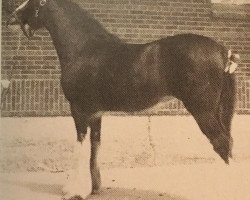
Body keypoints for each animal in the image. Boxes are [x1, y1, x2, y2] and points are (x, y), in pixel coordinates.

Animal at [6, 0, 239, 198]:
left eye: (32, 2)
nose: (11, 18)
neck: (83, 48)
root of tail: (222, 51)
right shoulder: (95, 114)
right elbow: (94, 147)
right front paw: (94, 188)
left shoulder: (79, 111)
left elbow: (80, 147)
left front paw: (74, 190)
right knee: (228, 143)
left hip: (203, 111)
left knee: (221, 143)